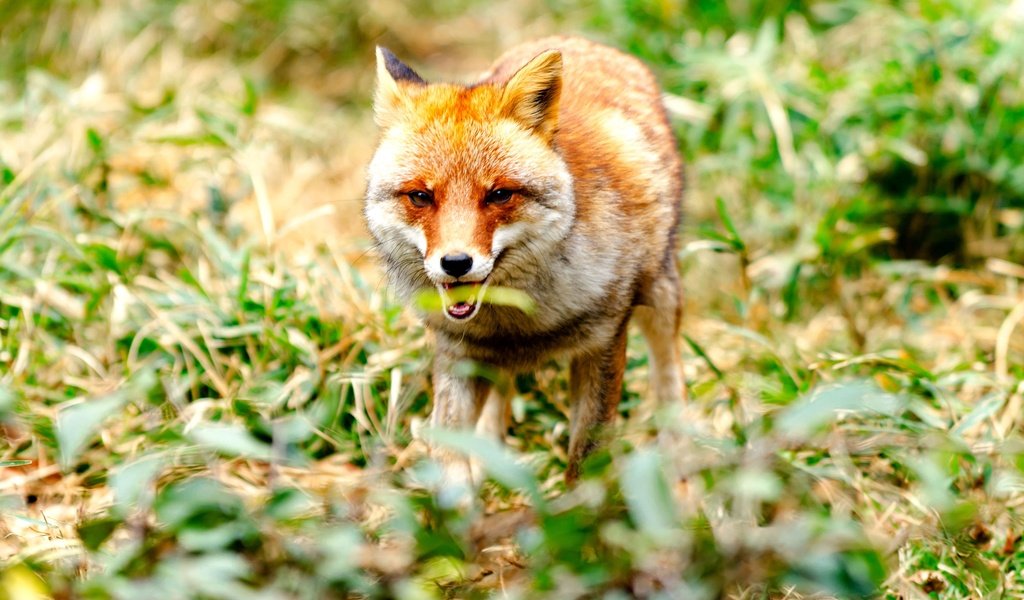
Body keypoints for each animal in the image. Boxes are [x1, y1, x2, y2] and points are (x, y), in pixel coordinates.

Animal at [364, 36, 684, 485]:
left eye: (499, 194)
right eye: (421, 196)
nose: (456, 263)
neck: (517, 325)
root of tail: (578, 39)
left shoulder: (604, 342)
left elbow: (585, 461)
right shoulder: (457, 354)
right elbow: (448, 455)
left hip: (661, 297)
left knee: (670, 378)